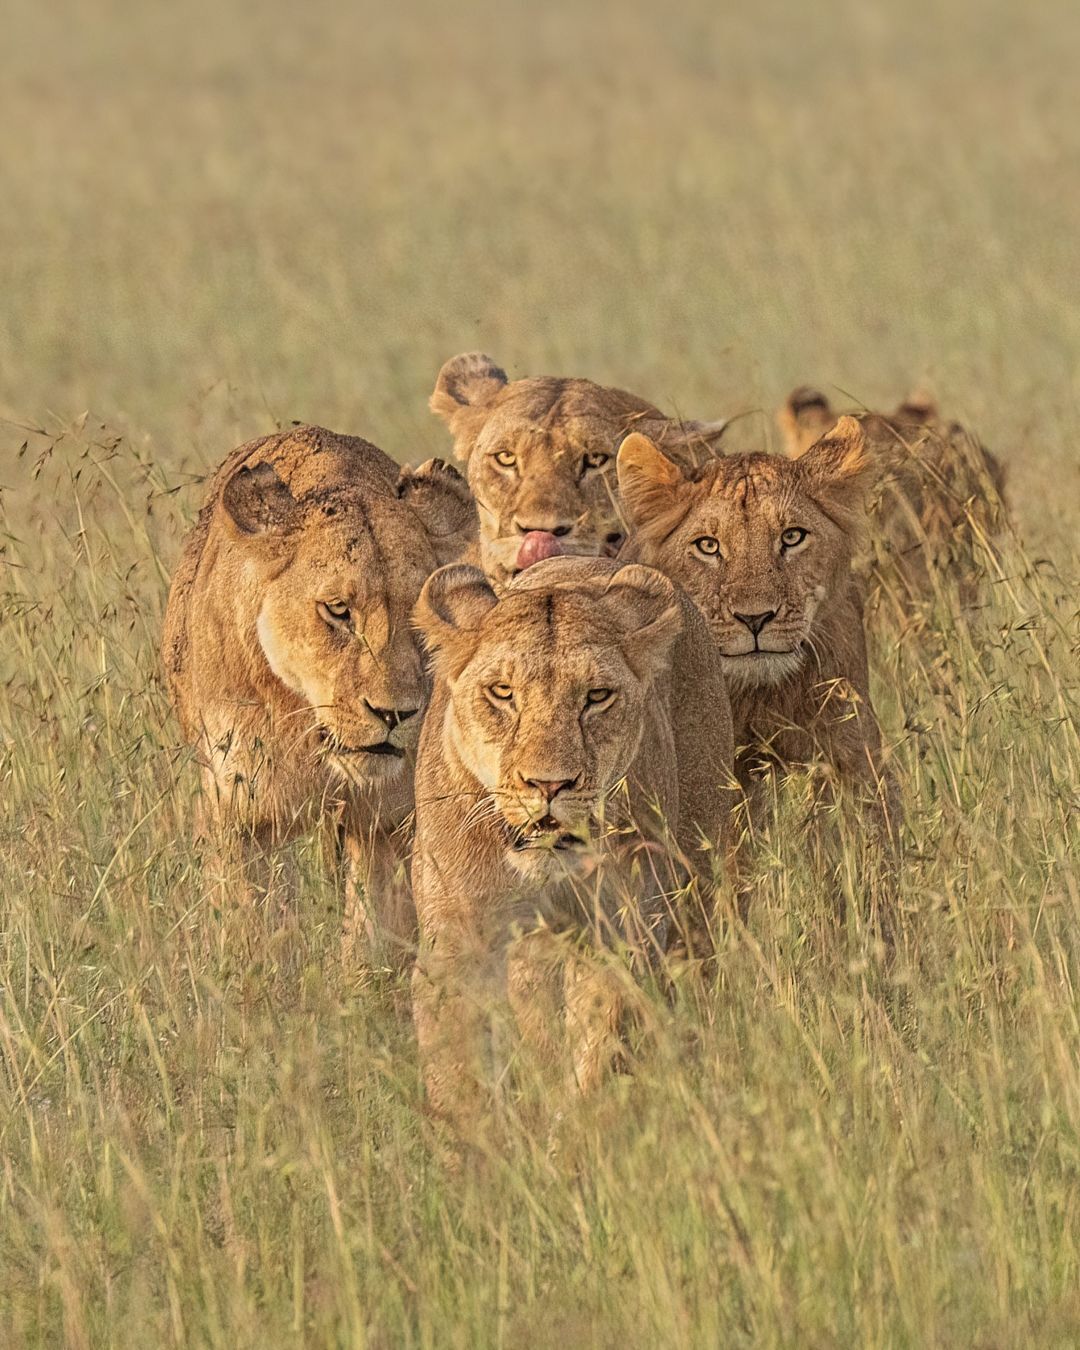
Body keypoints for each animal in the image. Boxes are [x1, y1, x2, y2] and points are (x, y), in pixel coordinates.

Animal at [161, 426, 477, 966]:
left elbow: (377, 935)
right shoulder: (242, 808)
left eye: (418, 614)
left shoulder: (387, 820)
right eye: (338, 610)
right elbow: (254, 928)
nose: (394, 714)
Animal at [410, 553, 734, 1134]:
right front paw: (479, 1151)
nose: (549, 784)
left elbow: (598, 1059)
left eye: (597, 697)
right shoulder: (456, 945)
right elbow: (460, 1078)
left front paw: (580, 1140)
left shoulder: (621, 936)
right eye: (502, 693)